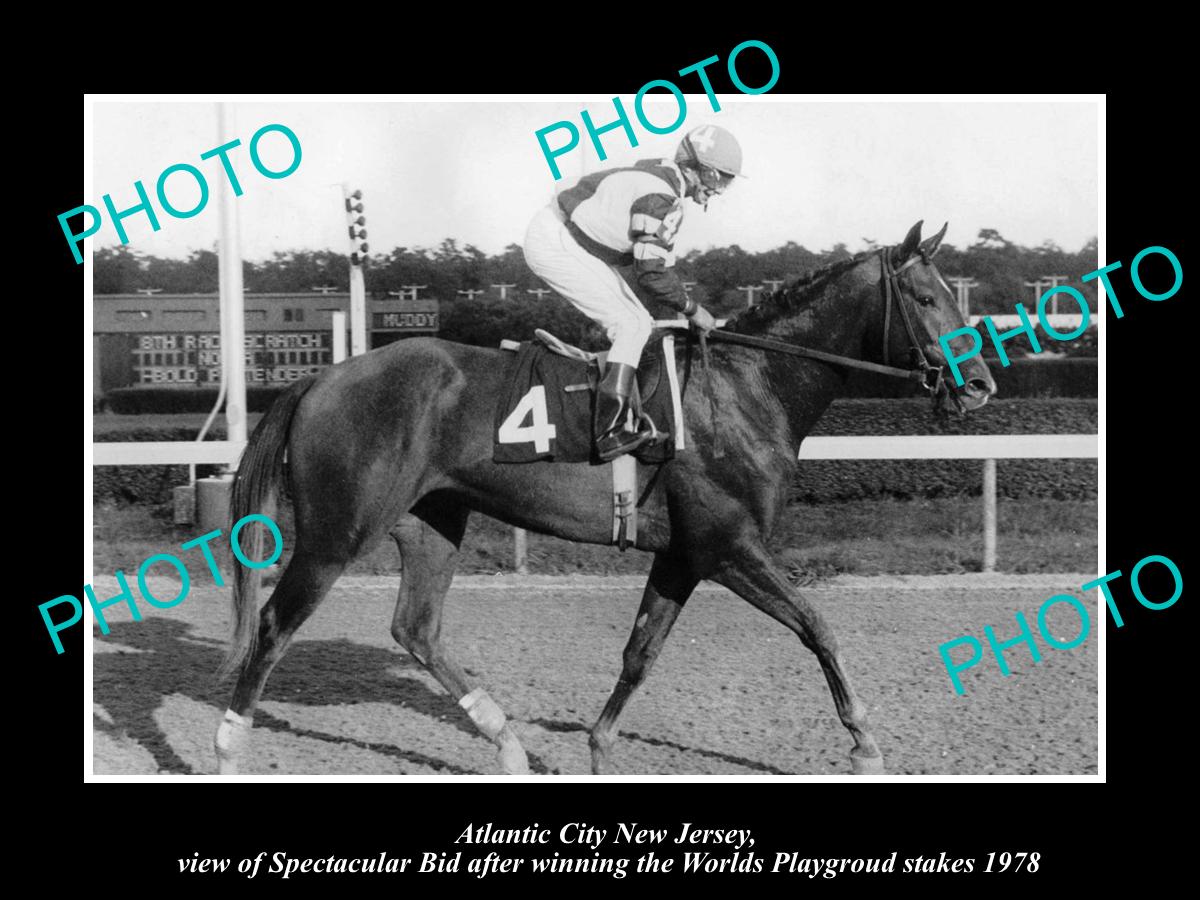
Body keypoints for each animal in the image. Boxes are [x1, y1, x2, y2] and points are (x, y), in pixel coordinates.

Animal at [213, 218, 993, 777]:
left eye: (954, 294)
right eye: (927, 299)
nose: (982, 383)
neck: (748, 388)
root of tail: (321, 377)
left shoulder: (682, 555)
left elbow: (641, 650)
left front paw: (598, 743)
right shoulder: (729, 546)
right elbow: (817, 626)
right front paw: (864, 742)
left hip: (432, 520)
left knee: (416, 629)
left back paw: (506, 742)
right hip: (337, 531)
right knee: (276, 626)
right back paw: (227, 748)